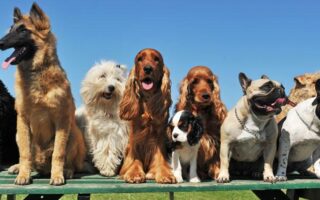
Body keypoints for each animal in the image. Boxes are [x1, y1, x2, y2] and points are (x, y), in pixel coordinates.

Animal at [0, 3, 85, 185]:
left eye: (23, 30)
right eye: (11, 29)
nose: (0, 42)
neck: (35, 72)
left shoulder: (62, 120)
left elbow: (58, 153)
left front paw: (57, 175)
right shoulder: (22, 121)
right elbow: (25, 153)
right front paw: (23, 174)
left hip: (74, 133)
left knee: (70, 162)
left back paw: (67, 170)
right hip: (18, 134)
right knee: (30, 158)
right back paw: (19, 167)